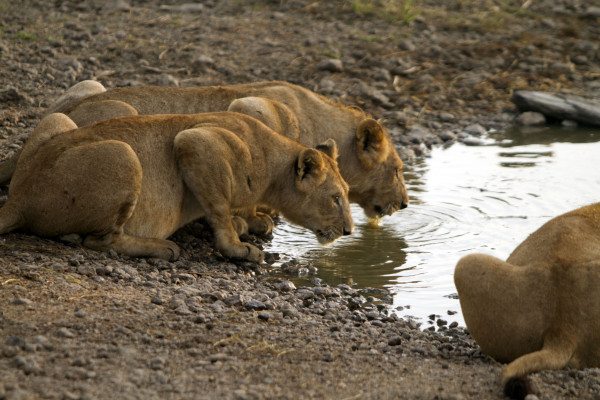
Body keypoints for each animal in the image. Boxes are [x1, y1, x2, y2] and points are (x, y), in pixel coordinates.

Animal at [0, 78, 408, 223]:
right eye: (399, 169)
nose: (405, 203)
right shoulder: (250, 107)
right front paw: (255, 220)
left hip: (87, 86)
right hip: (121, 113)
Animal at [0, 112, 354, 262]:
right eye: (336, 199)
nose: (351, 231)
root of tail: (19, 197)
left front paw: (246, 221)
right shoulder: (197, 141)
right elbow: (219, 207)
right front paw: (237, 247)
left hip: (57, 120)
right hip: (124, 155)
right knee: (99, 241)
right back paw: (161, 248)